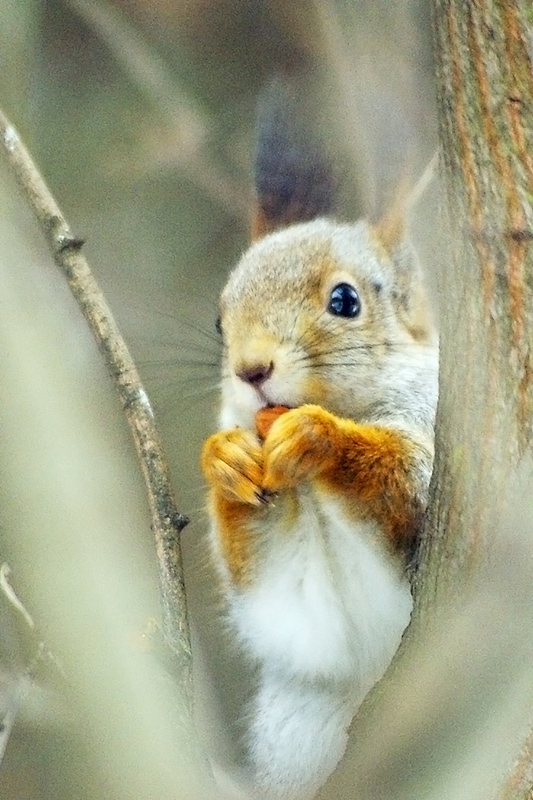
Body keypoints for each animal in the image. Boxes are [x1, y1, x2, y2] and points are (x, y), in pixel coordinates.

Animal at [200, 81, 436, 800]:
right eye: (218, 319)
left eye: (344, 301)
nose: (251, 370)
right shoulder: (296, 609)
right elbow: (287, 611)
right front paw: (224, 459)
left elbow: (405, 483)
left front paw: (319, 436)